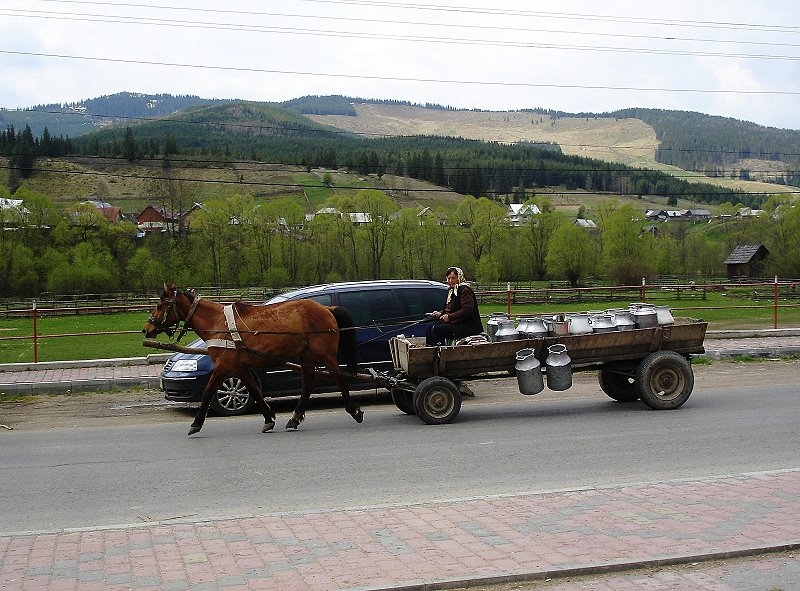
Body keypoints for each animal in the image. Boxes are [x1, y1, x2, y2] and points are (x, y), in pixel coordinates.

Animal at [144, 284, 362, 438]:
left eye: (160, 305)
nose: (146, 329)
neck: (219, 323)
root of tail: (326, 309)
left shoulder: (223, 366)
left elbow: (208, 391)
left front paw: (196, 423)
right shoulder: (240, 367)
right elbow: (255, 391)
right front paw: (268, 418)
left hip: (326, 355)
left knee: (339, 379)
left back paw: (354, 410)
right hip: (307, 356)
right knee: (308, 384)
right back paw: (295, 418)